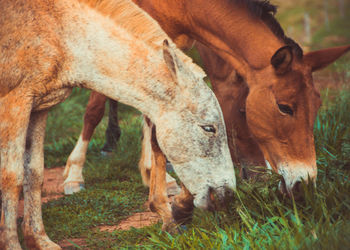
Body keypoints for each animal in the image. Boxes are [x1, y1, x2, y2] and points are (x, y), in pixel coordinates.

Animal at [0, 0, 237, 249]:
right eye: (209, 128)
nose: (227, 195)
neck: (60, 31)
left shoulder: (39, 108)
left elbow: (34, 174)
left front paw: (39, 240)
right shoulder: (15, 103)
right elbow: (12, 178)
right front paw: (12, 243)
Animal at [64, 0, 350, 195]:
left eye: (317, 107)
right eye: (284, 107)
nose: (305, 183)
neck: (184, 6)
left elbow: (150, 108)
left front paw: (155, 174)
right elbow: (95, 107)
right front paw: (74, 175)